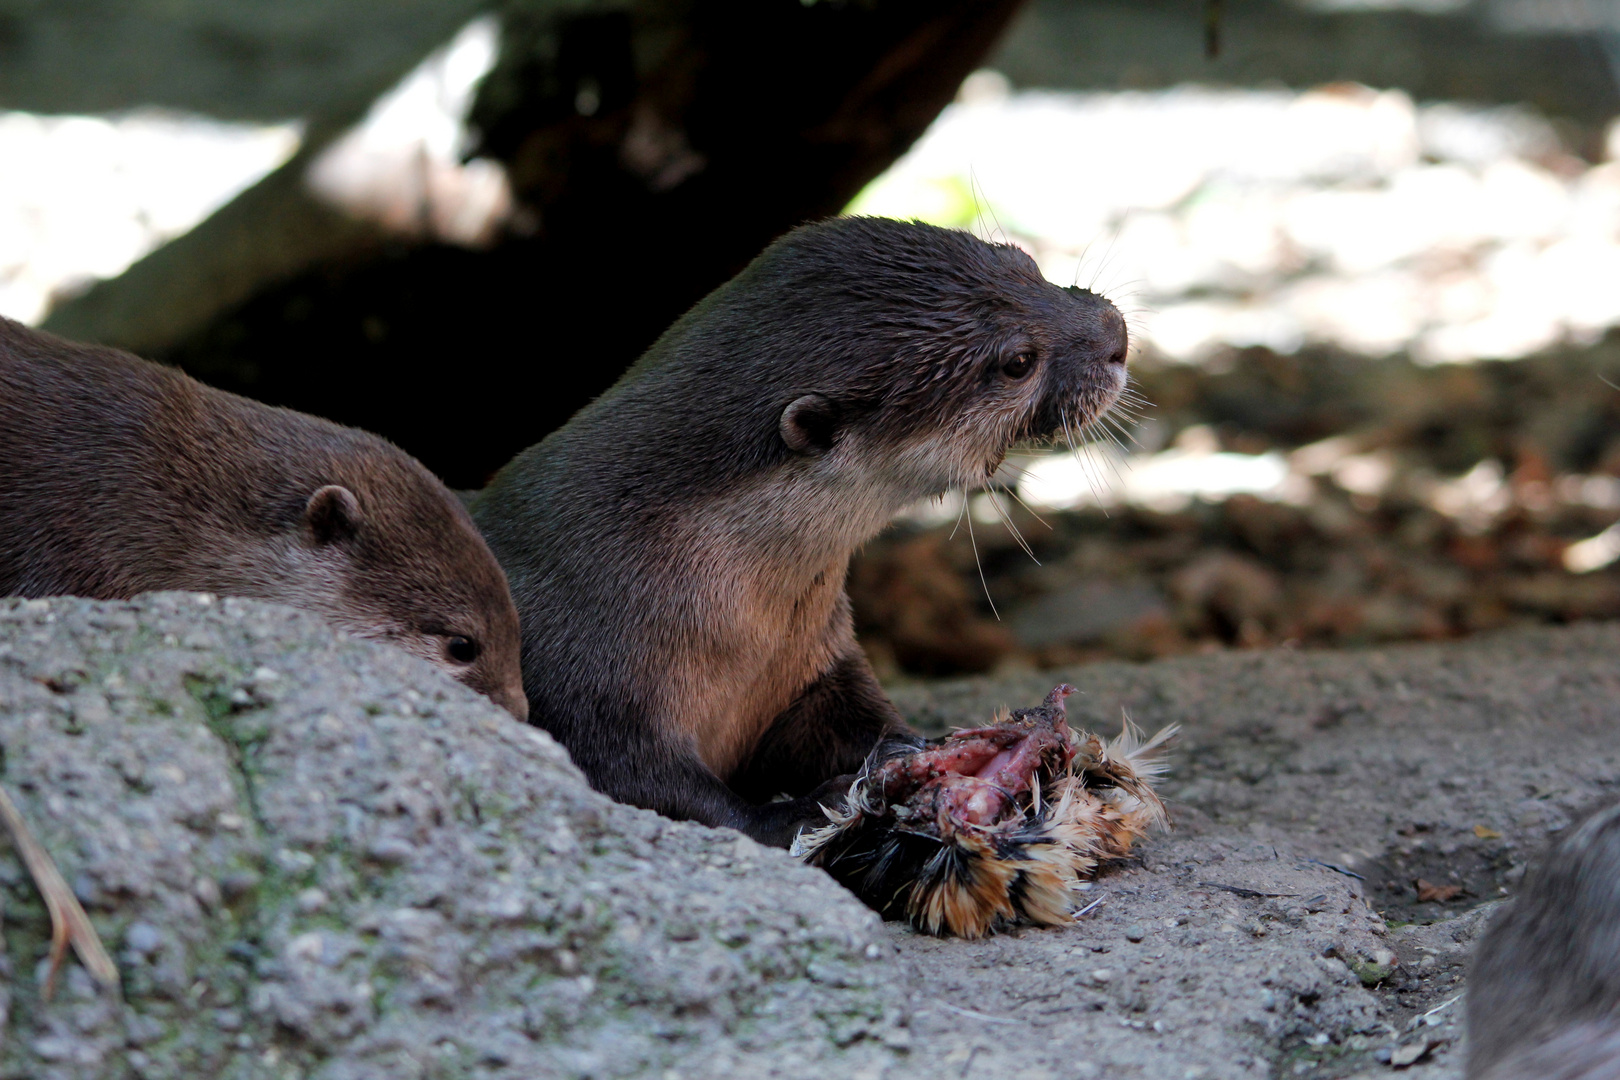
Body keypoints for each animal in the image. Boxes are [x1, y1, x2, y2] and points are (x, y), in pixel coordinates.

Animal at [473, 216, 1127, 841]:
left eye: (1026, 262)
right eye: (1018, 362)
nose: (1116, 333)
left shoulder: (816, 660)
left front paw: (920, 747)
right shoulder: (585, 680)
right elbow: (639, 780)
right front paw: (807, 810)